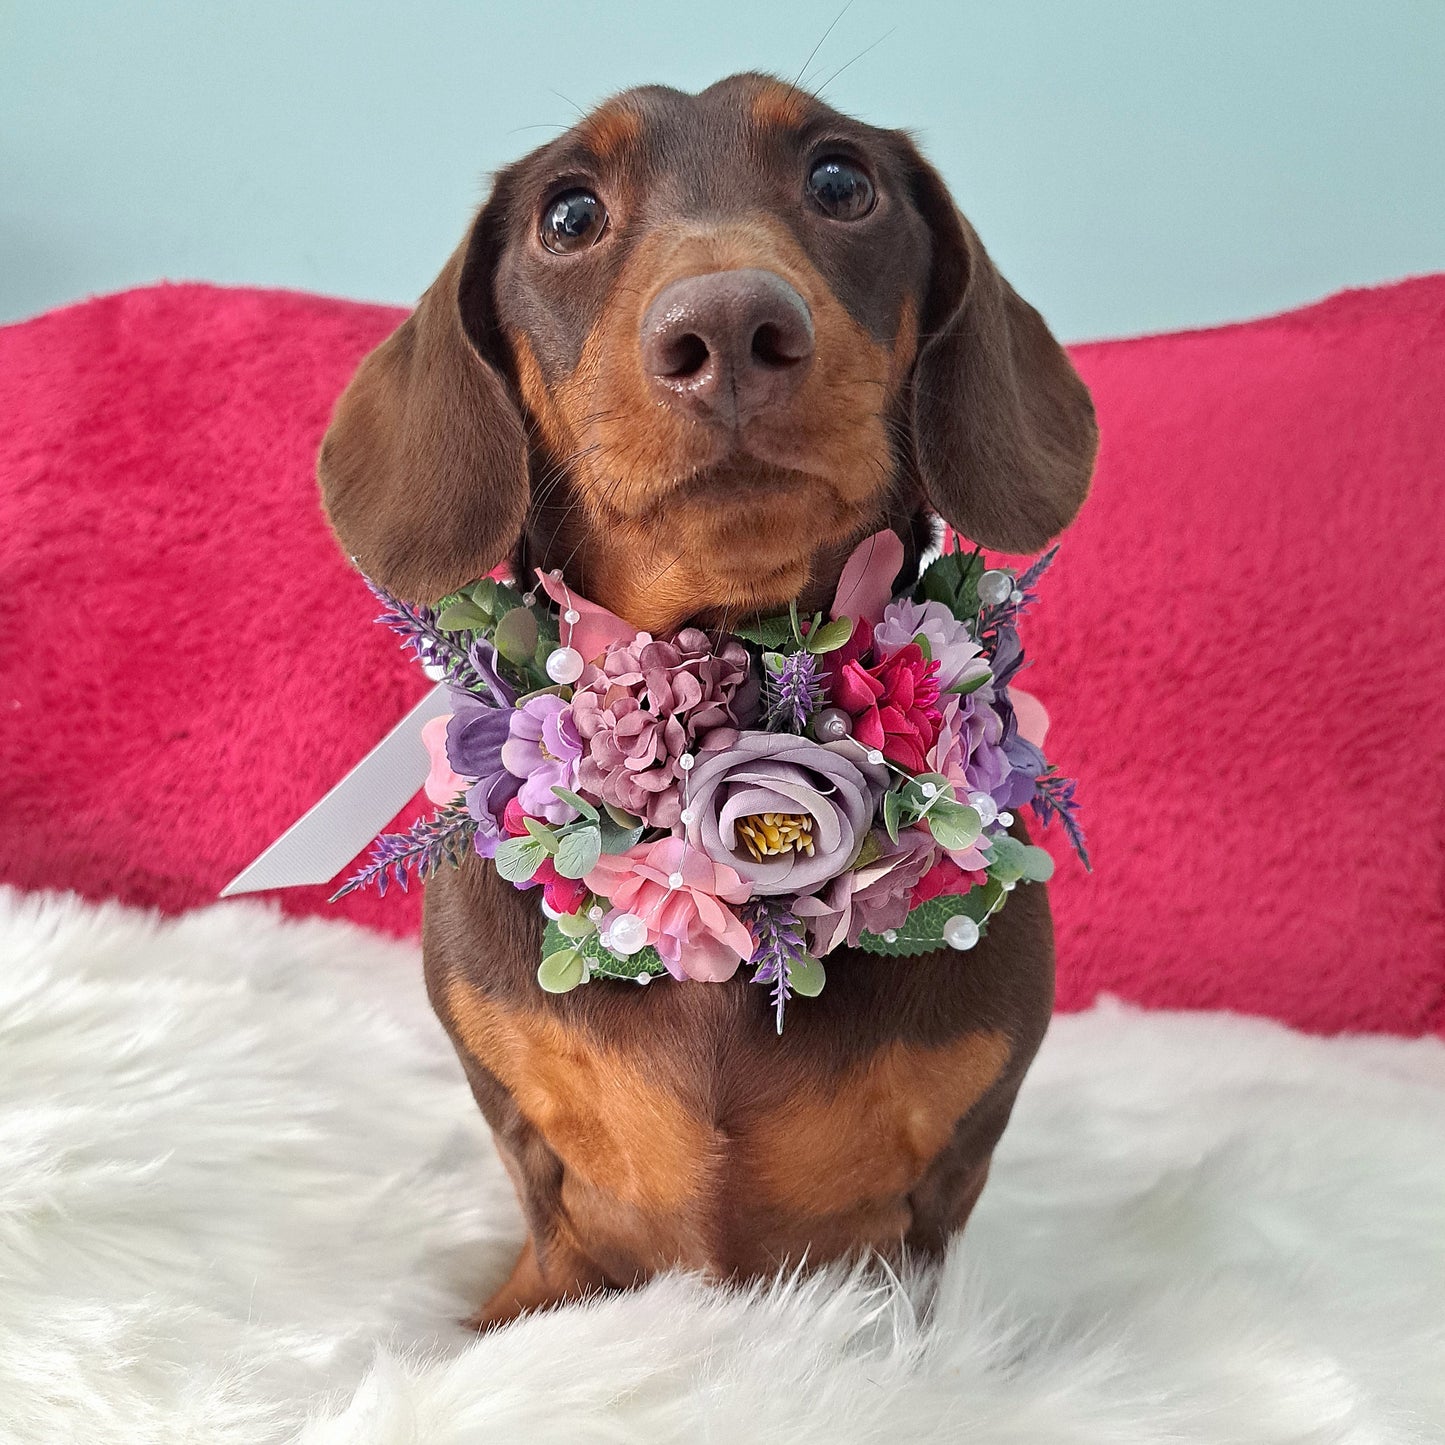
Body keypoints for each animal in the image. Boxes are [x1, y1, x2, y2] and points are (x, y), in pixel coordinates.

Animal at [322, 73, 1098, 1323]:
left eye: (840, 180)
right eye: (568, 215)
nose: (730, 326)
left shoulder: (941, 1177)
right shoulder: (528, 1136)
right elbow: (546, 1220)